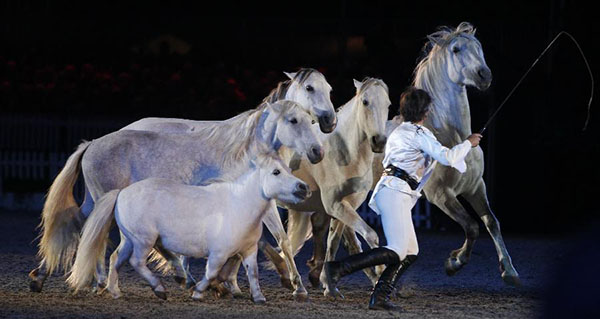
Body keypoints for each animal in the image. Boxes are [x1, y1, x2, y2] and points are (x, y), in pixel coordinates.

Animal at [68, 153, 310, 304]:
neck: (238, 205)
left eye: (288, 169)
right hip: (143, 241)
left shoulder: (249, 250)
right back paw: (159, 289)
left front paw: (258, 297)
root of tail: (121, 193)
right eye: (276, 172)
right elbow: (211, 273)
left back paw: (115, 291)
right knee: (136, 262)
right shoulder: (218, 253)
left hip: (130, 239)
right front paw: (199, 292)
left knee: (116, 259)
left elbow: (253, 273)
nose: (303, 187)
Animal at [414, 23, 516, 288]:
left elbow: (491, 222)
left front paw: (509, 271)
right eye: (456, 49)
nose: (484, 75)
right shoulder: (441, 196)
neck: (454, 139)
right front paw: (454, 263)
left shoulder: (475, 187)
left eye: (479, 48)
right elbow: (471, 227)